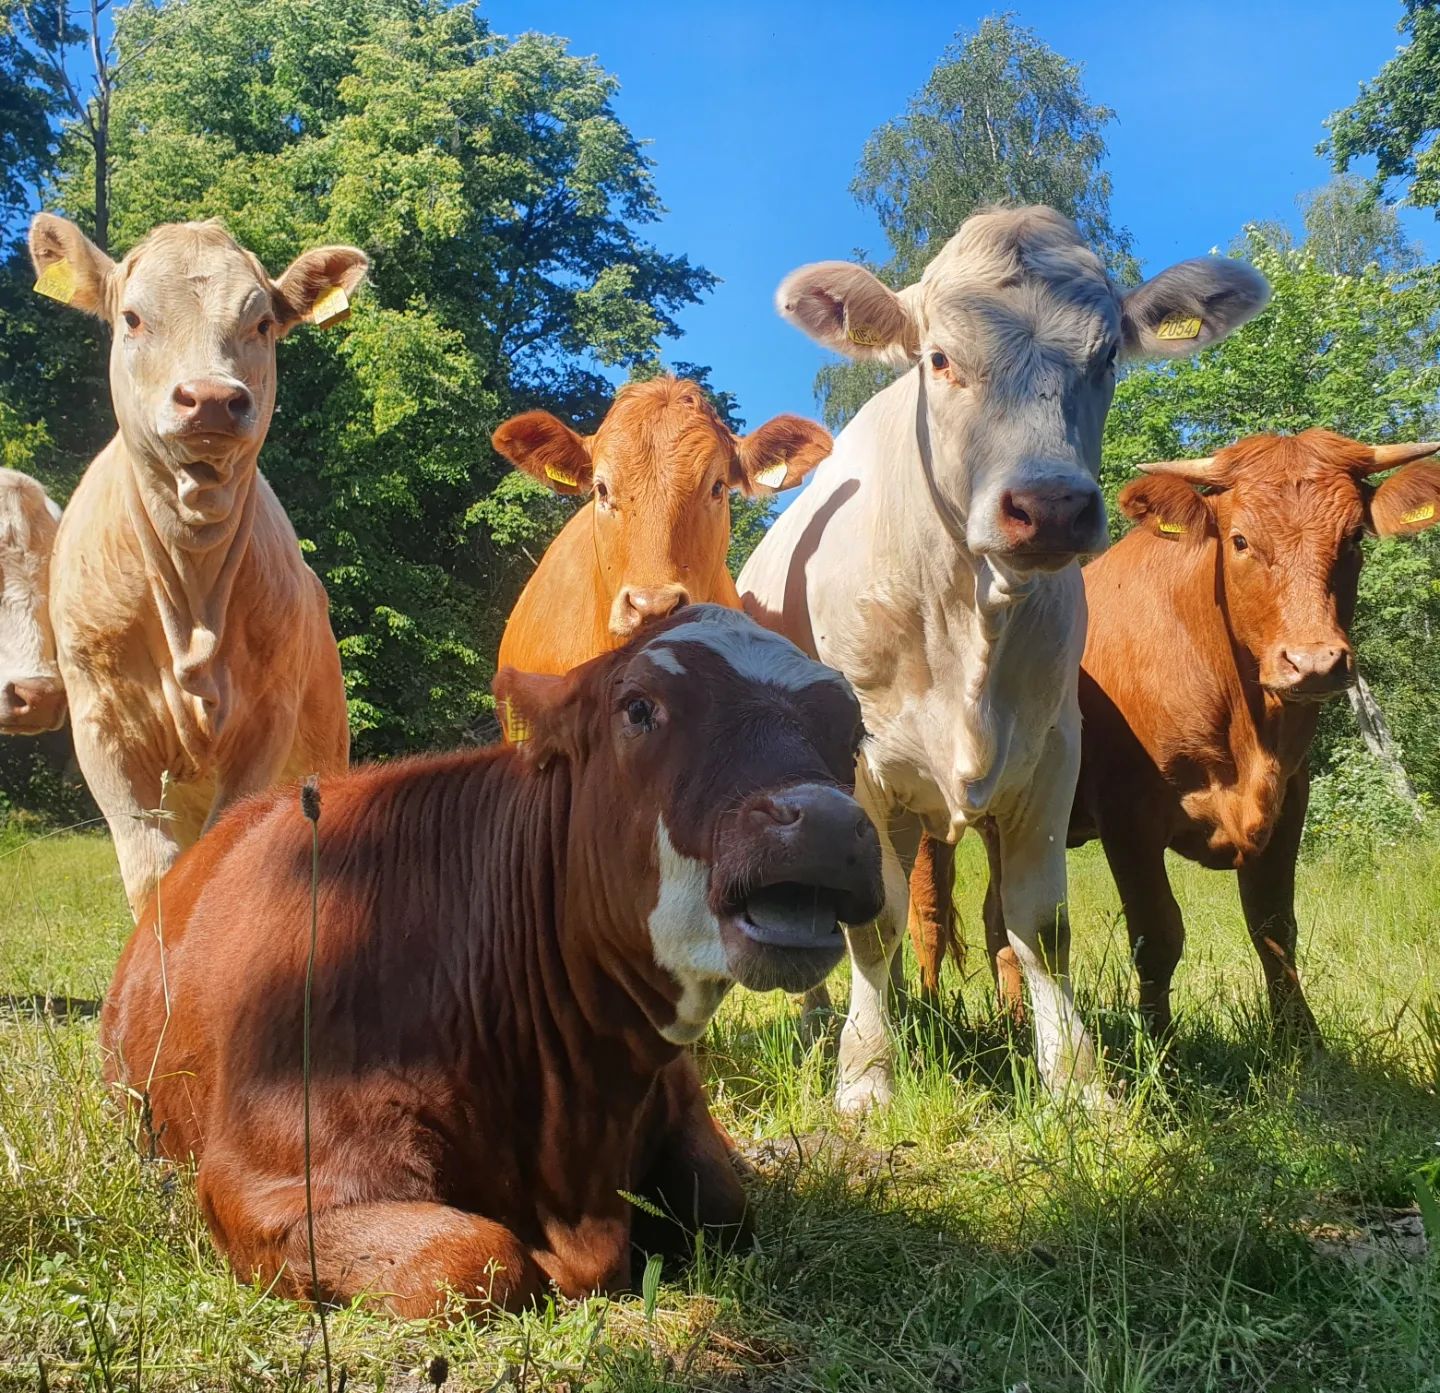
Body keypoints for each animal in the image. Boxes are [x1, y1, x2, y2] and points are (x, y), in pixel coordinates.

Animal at [29, 214, 365, 916]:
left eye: (261, 323)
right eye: (131, 318)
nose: (210, 398)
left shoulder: (267, 722)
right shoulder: (100, 725)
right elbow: (153, 873)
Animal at [101, 607, 881, 1319]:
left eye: (853, 732)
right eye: (639, 707)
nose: (826, 823)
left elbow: (725, 1206)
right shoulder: (267, 1180)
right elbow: (479, 1256)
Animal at [737, 204, 1267, 1112]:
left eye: (1108, 356)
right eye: (941, 358)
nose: (1050, 505)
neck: (966, 615)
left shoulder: (1051, 751)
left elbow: (1038, 925)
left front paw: (1077, 1079)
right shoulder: (857, 770)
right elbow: (871, 923)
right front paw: (867, 1072)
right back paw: (821, 1022)